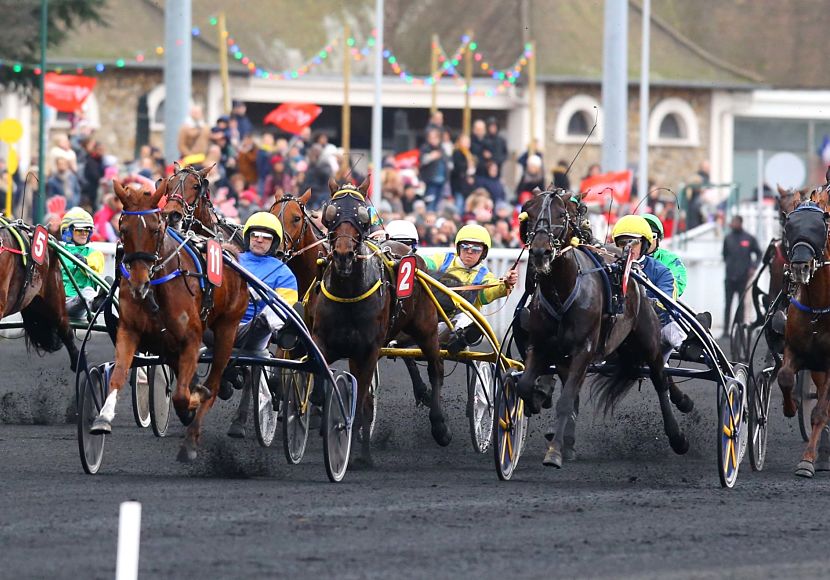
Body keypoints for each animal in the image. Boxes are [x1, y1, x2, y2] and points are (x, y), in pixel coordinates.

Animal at [91, 181, 249, 462]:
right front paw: (103, 417)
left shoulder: (192, 339)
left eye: (156, 228)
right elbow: (118, 375)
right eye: (123, 228)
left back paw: (192, 438)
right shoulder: (130, 330)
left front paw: (195, 398)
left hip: (228, 329)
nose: (139, 283)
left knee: (214, 383)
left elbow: (183, 395)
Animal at [308, 179, 446, 464]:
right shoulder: (324, 341)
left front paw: (358, 453)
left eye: (362, 215)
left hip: (426, 327)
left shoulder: (369, 350)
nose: (344, 254)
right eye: (330, 213)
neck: (348, 293)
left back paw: (439, 426)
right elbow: (322, 373)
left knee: (435, 368)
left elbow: (362, 399)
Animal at [516, 189, 692, 466]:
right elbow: (525, 386)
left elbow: (566, 401)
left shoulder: (584, 349)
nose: (540, 252)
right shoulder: (541, 345)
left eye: (561, 214)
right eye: (528, 214)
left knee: (660, 379)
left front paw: (554, 453)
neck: (562, 291)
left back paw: (678, 435)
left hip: (648, 339)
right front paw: (537, 399)